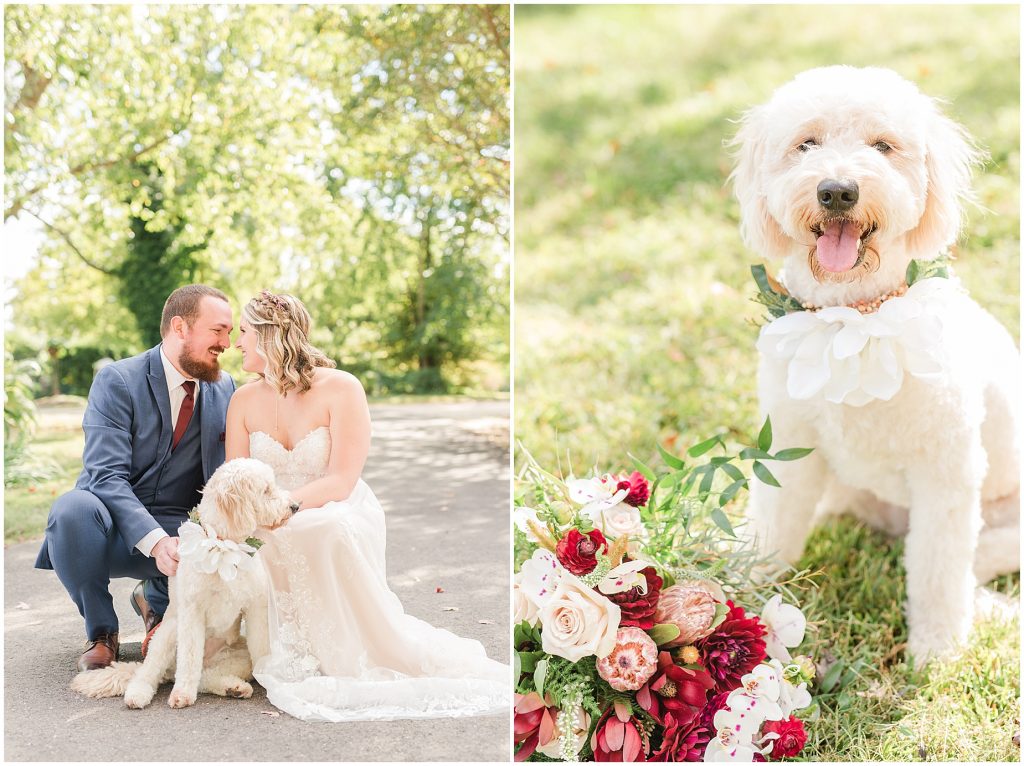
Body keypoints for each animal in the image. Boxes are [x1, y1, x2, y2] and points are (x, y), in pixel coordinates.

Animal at [70, 458, 294, 708]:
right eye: (266, 490)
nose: (295, 506)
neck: (224, 549)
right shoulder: (192, 611)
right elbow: (189, 657)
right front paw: (182, 693)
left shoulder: (255, 608)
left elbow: (261, 648)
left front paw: (268, 679)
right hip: (166, 635)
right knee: (150, 672)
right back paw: (139, 693)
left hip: (236, 655)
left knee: (206, 677)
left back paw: (233, 687)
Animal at [733, 66, 1019, 663]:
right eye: (807, 143)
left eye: (883, 146)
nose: (837, 191)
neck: (855, 319)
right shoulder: (791, 452)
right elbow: (773, 529)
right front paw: (736, 595)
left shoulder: (946, 473)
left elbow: (936, 573)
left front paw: (937, 649)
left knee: (976, 558)